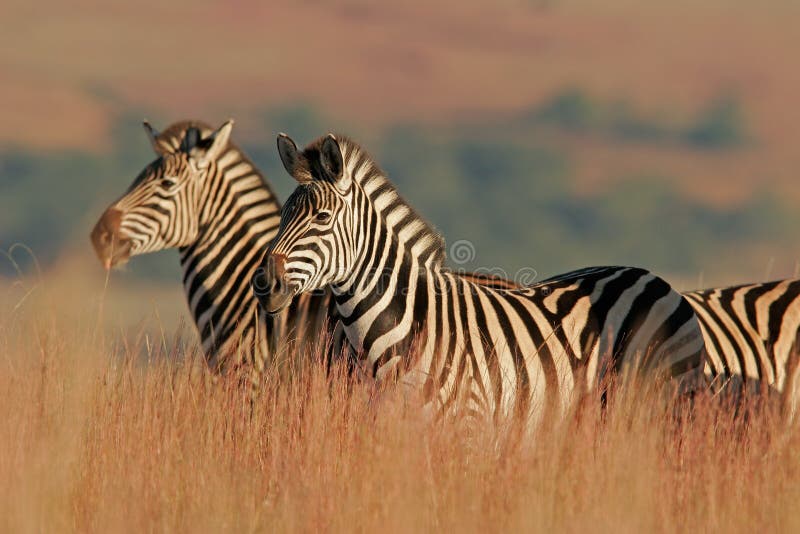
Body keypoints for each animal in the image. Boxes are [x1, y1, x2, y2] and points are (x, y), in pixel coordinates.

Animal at [252, 135, 708, 432]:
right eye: (283, 214)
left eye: (322, 218)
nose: (264, 284)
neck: (402, 331)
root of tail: (654, 278)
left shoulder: (467, 427)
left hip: (665, 409)